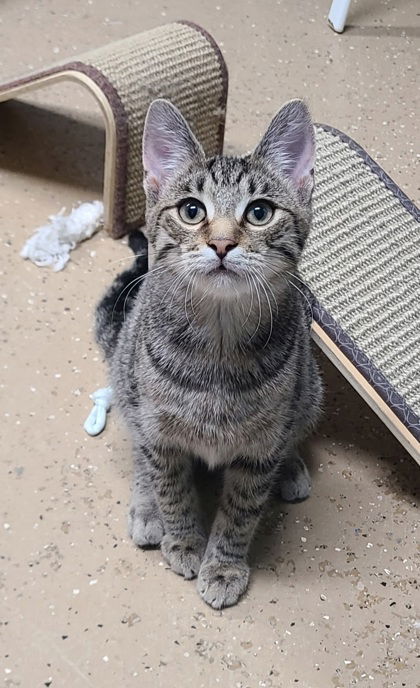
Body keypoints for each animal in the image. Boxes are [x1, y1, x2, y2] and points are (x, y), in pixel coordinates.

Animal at [97, 98, 324, 608]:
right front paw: (182, 541)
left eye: (259, 212)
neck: (217, 344)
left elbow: (241, 512)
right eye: (190, 210)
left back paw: (291, 466)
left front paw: (223, 565)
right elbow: (171, 487)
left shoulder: (259, 452)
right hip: (126, 377)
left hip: (311, 386)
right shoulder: (159, 432)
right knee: (138, 448)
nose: (221, 243)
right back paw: (146, 509)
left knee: (296, 425)